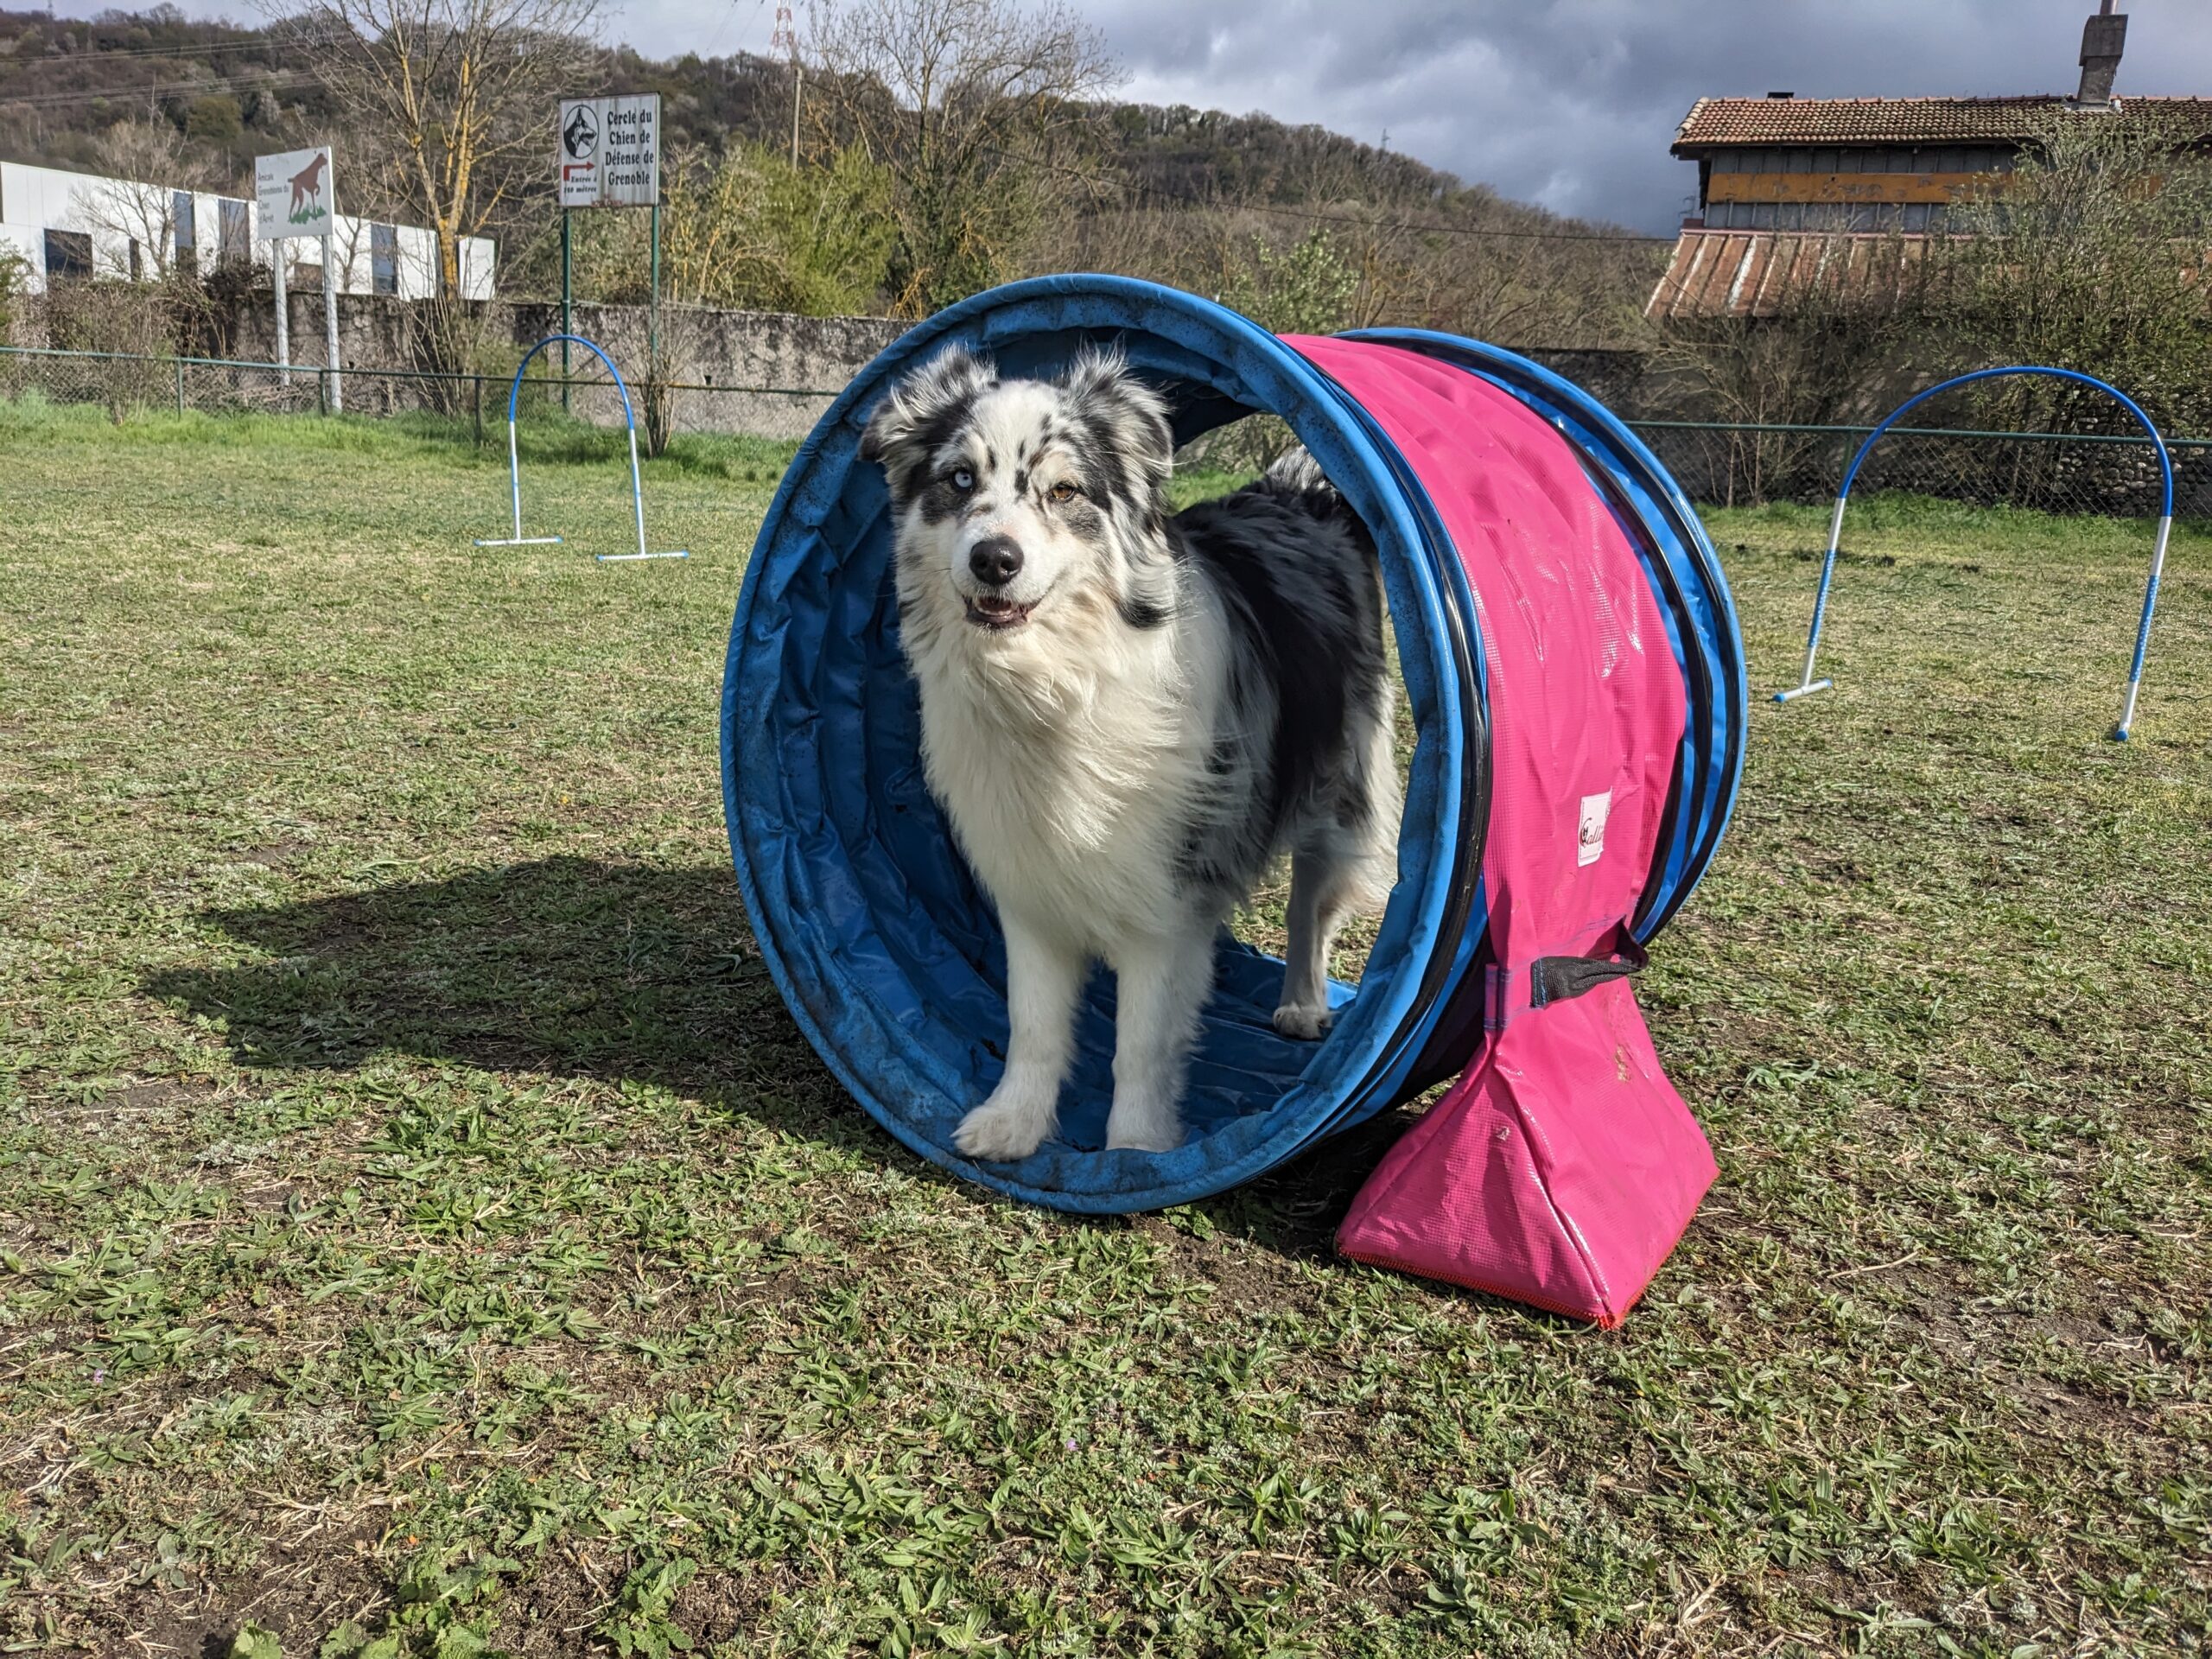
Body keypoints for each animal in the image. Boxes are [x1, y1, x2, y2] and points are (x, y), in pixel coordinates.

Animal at [862, 345, 1397, 1159]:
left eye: (1064, 490)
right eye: (959, 480)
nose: (994, 560)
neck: (1055, 679)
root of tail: (1297, 493)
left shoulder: (1167, 905)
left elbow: (1141, 1044)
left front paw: (1135, 1152)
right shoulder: (1028, 884)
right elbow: (1031, 1023)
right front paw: (1013, 1123)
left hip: (1335, 783)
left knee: (1312, 900)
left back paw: (1303, 1002)